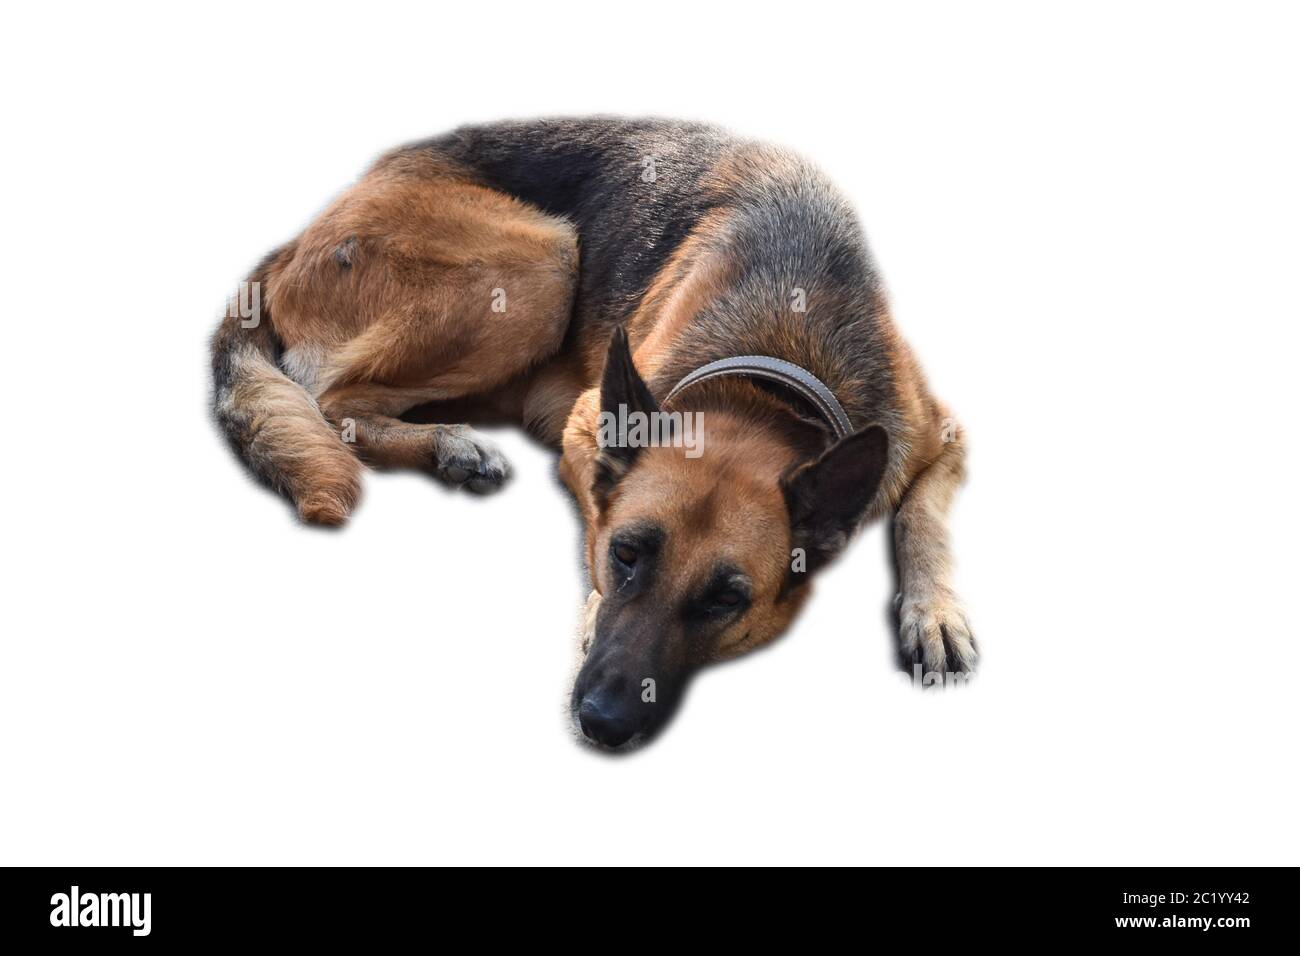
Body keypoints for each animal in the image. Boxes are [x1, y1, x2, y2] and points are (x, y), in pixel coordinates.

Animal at [208, 117, 972, 749]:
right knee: (329, 397)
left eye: (727, 600)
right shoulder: (584, 424)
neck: (768, 377)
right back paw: (452, 441)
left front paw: (933, 612)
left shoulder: (939, 436)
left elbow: (922, 518)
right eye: (624, 555)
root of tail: (294, 242)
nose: (601, 722)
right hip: (544, 259)